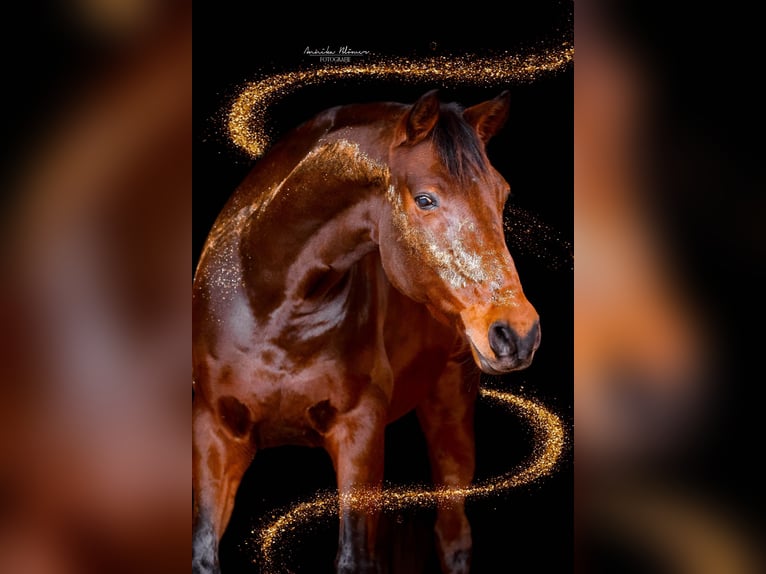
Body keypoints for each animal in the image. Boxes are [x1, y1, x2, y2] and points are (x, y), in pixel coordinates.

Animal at [191, 90, 540, 574]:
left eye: (501, 194)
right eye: (426, 199)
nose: (519, 332)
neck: (270, 303)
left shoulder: (359, 436)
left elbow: (354, 556)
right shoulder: (215, 434)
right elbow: (204, 551)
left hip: (450, 408)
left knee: (453, 535)